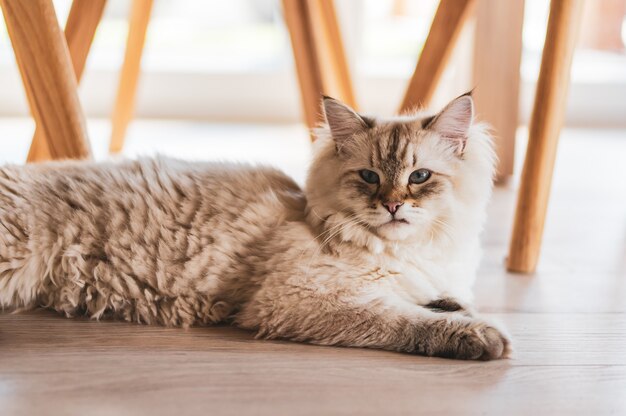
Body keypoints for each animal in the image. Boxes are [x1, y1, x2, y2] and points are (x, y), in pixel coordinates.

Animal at [0, 92, 508, 360]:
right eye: (369, 177)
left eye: (419, 177)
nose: (392, 205)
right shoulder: (304, 298)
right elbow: (406, 319)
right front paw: (479, 336)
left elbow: (439, 300)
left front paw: (455, 307)